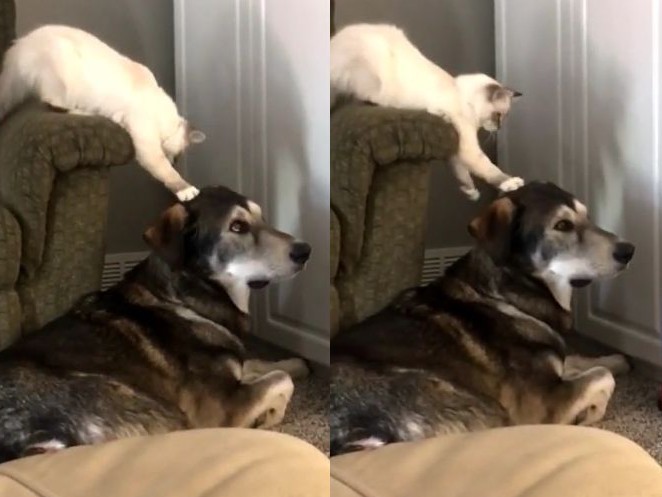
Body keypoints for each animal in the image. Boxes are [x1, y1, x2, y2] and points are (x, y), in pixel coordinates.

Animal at [0, 25, 205, 201]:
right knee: (54, 103)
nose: (173, 161)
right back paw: (93, 114)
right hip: (64, 72)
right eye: (175, 156)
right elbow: (166, 171)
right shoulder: (147, 142)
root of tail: (19, 44)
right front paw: (186, 190)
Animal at [0, 185, 311, 462]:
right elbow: (279, 379)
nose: (305, 250)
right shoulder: (221, 407)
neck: (185, 295)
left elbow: (262, 365)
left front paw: (295, 363)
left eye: (262, 218)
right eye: (237, 226)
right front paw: (271, 414)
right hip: (154, 408)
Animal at [330, 181, 634, 456]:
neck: (507, 291)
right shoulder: (543, 403)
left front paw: (615, 359)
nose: (629, 250)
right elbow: (601, 377)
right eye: (562, 225)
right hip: (479, 405)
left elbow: (581, 361)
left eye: (587, 216)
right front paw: (590, 411)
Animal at [331, 23, 523, 200]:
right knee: (365, 97)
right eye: (498, 116)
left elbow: (461, 172)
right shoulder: (466, 145)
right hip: (374, 74)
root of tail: (335, 41)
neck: (461, 95)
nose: (499, 128)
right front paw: (510, 183)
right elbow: (489, 167)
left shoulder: (454, 147)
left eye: (503, 118)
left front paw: (471, 192)